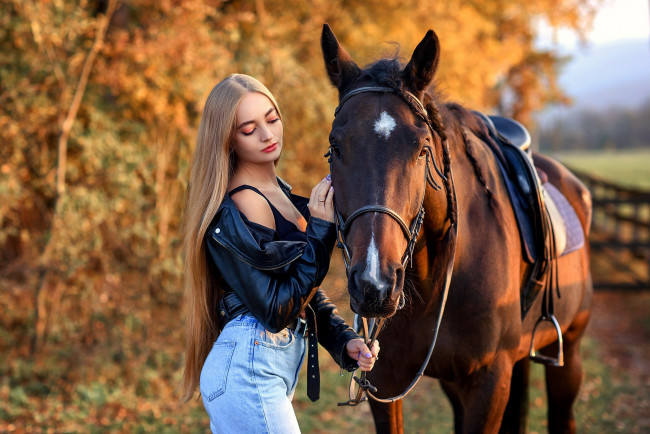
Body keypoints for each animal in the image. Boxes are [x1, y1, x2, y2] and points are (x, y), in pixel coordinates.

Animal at [320, 24, 593, 433]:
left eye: (421, 149)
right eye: (335, 146)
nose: (374, 285)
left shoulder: (488, 383)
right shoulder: (385, 381)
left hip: (569, 352)